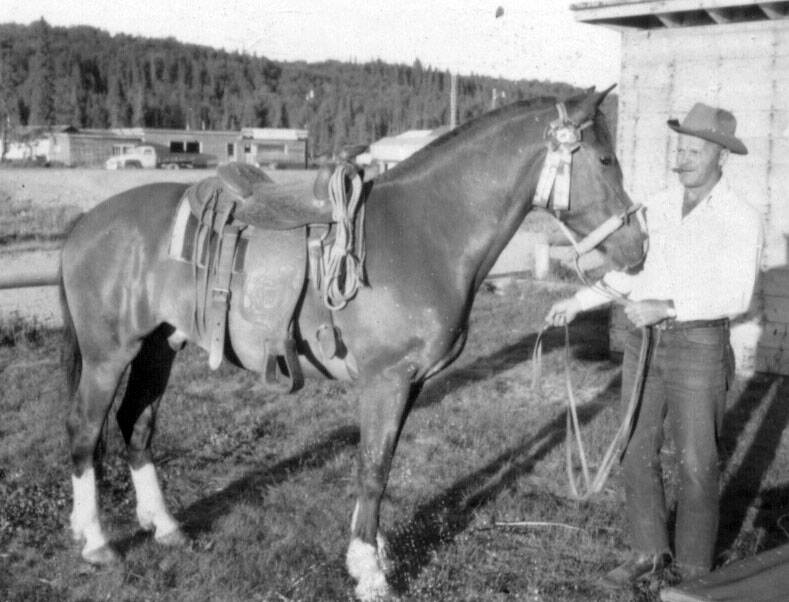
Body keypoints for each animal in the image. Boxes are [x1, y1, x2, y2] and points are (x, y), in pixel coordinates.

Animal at [59, 86, 646, 600]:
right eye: (605, 159)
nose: (638, 247)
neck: (426, 232)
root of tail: (85, 224)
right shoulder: (386, 381)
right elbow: (374, 468)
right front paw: (369, 571)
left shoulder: (408, 384)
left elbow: (380, 464)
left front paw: (377, 549)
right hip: (109, 354)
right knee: (86, 431)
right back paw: (95, 541)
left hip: (159, 346)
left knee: (136, 425)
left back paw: (163, 526)